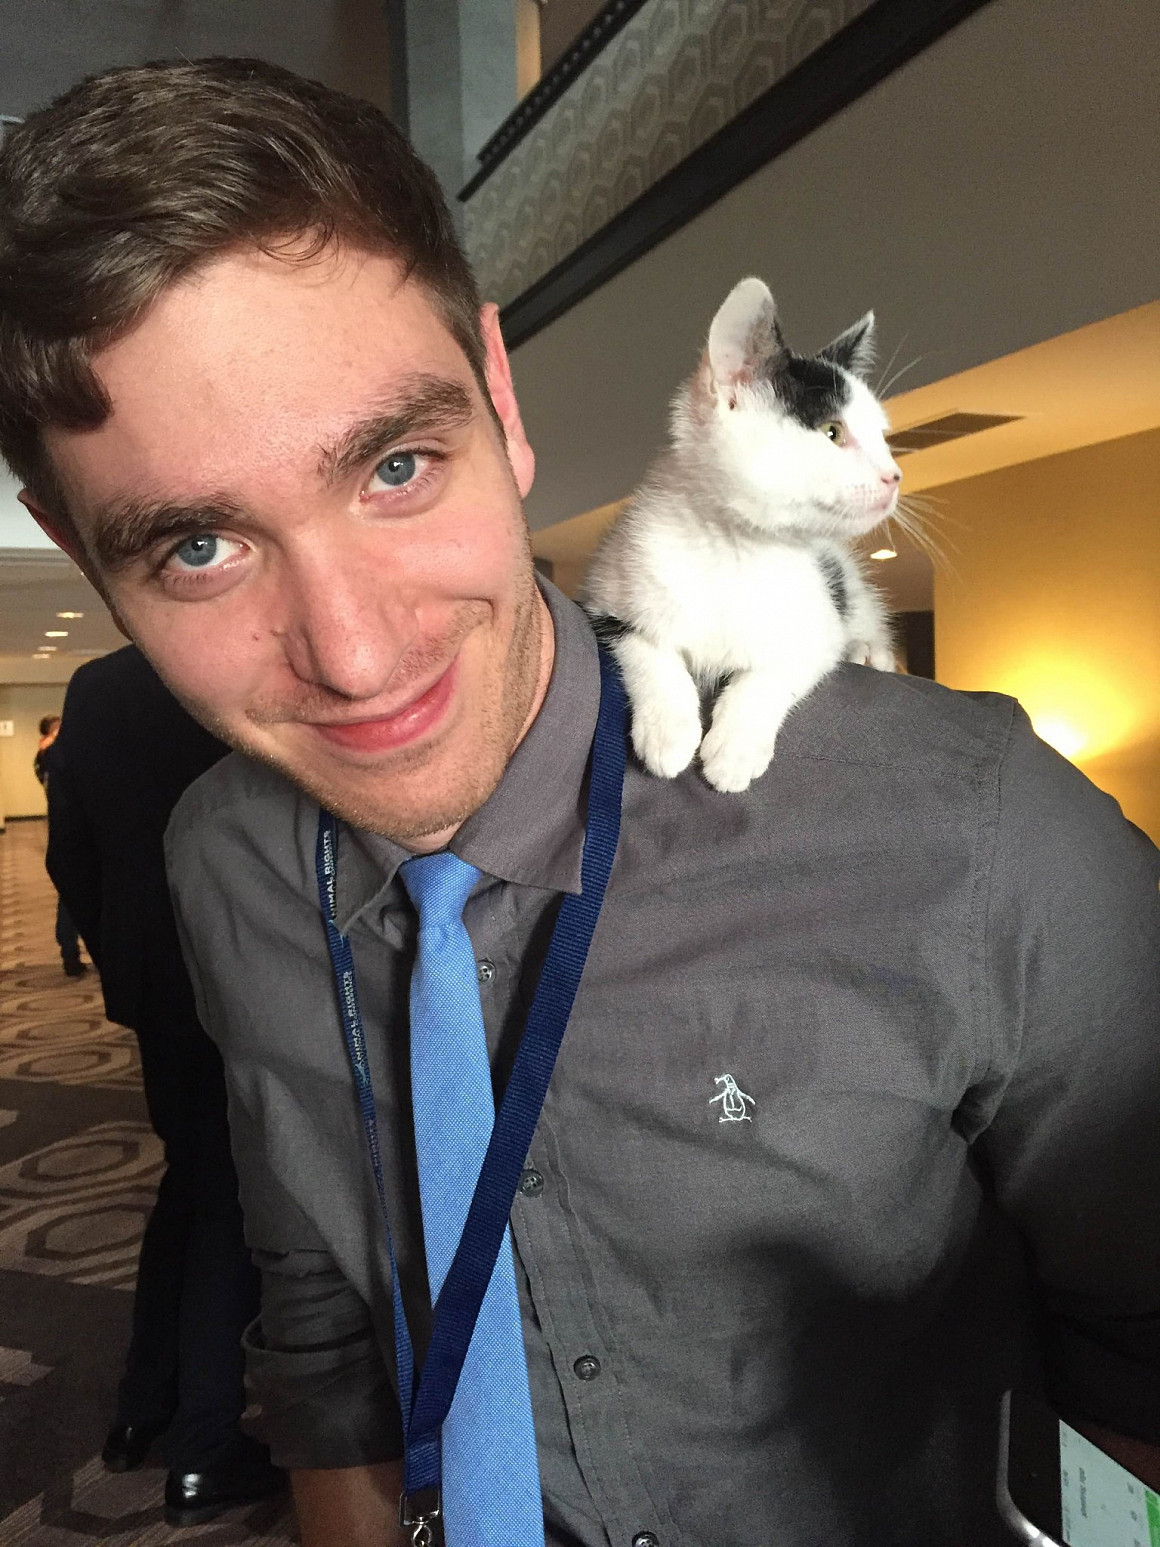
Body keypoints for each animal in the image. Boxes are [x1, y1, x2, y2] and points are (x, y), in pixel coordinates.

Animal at [581, 276, 903, 793]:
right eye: (833, 432)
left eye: (883, 439)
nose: (894, 476)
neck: (735, 550)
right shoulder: (606, 594)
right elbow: (644, 648)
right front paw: (669, 730)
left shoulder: (817, 625)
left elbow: (777, 670)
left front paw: (735, 747)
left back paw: (871, 653)